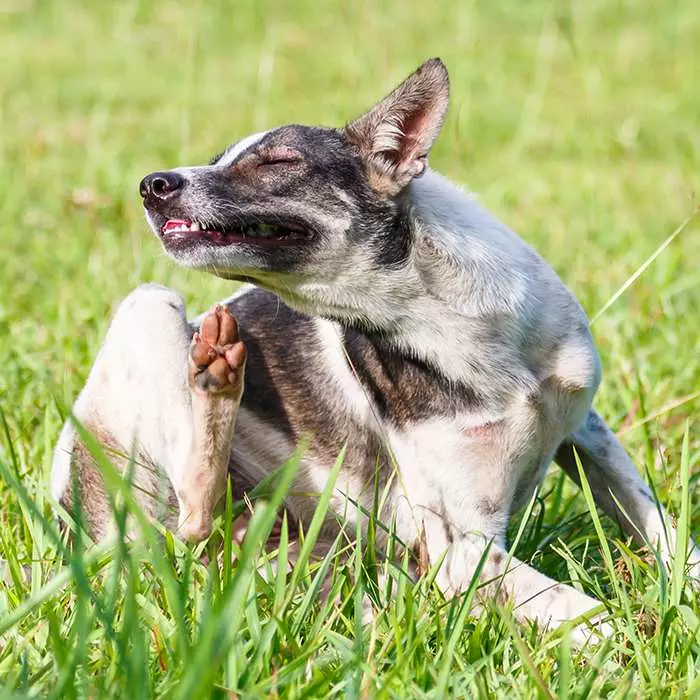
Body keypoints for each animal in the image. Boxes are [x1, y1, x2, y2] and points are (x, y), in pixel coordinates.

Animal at [50, 58, 700, 640]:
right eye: (218, 161)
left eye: (278, 161)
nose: (150, 184)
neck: (443, 316)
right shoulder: (461, 548)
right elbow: (589, 615)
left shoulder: (586, 430)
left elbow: (664, 530)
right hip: (148, 308)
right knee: (192, 512)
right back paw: (214, 372)